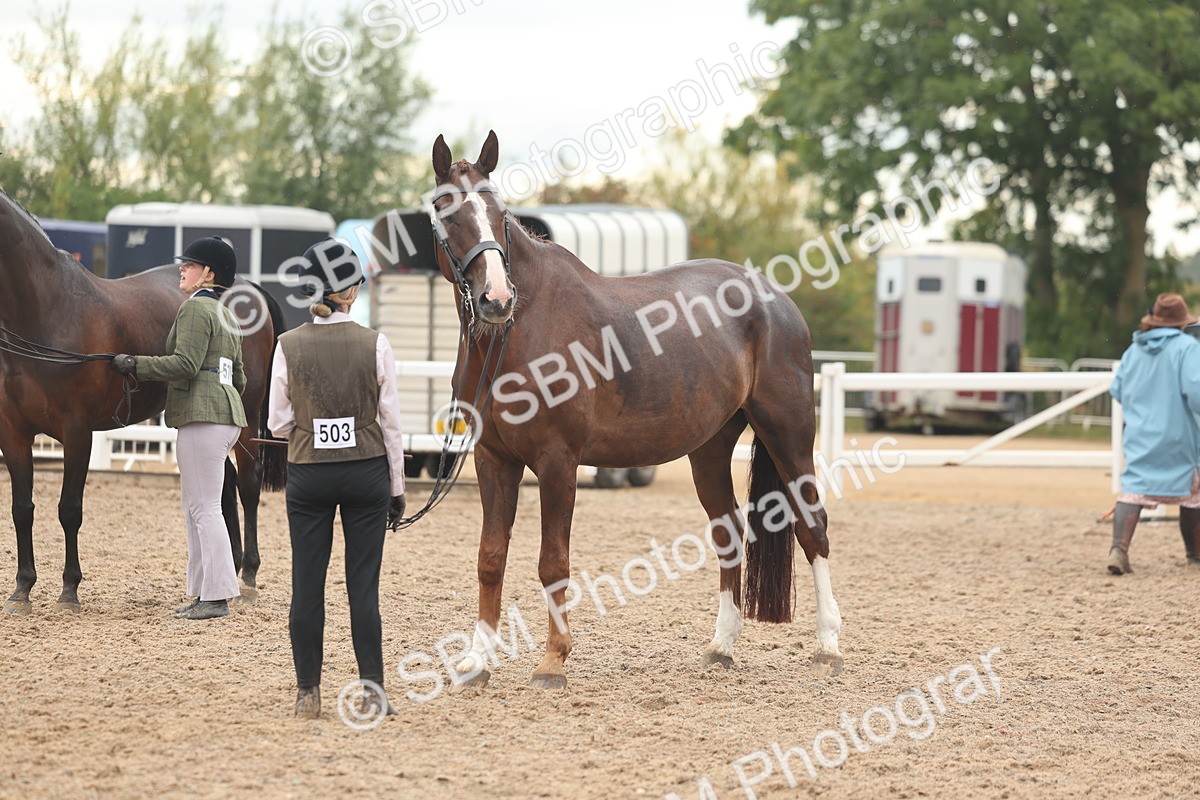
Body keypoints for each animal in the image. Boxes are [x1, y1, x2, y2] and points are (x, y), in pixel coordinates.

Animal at [0, 189, 287, 614]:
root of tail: (250, 288)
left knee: (249, 484)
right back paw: (230, 570)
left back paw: (248, 575)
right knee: (225, 485)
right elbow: (21, 510)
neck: (47, 313)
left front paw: (69, 590)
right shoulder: (14, 434)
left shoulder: (77, 433)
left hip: (248, 415)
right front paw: (22, 590)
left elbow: (69, 509)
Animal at [429, 131, 843, 688]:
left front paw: (553, 662)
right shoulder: (493, 459)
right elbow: (490, 558)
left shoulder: (558, 462)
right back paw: (721, 646)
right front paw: (476, 661)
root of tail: (776, 300)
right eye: (445, 211)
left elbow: (552, 563)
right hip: (710, 449)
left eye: (499, 212)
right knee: (729, 533)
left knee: (810, 526)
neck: (519, 333)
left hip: (789, 434)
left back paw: (828, 645)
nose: (497, 299)